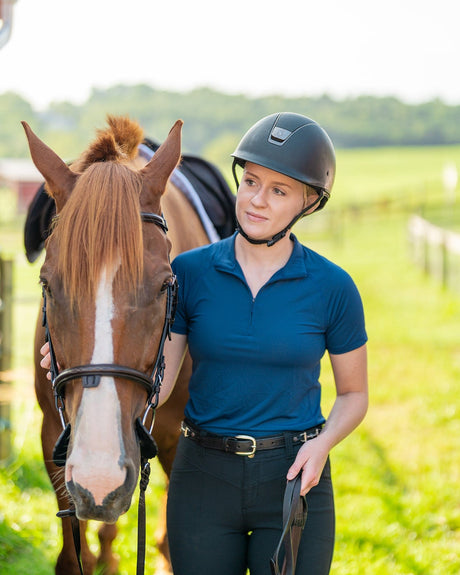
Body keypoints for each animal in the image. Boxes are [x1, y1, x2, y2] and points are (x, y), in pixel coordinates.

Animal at [23, 117, 212, 575]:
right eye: (47, 285)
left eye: (165, 285)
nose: (100, 476)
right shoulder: (53, 435)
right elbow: (73, 554)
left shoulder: (178, 441)